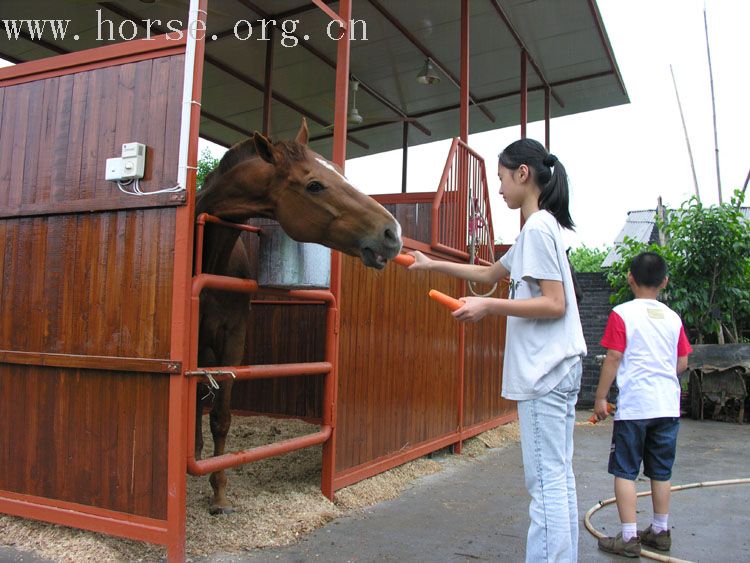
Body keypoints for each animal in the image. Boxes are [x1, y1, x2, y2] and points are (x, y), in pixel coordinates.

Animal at [197, 120, 402, 516]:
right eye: (315, 185)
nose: (392, 234)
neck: (210, 257)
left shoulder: (233, 340)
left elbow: (221, 417)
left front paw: (219, 494)